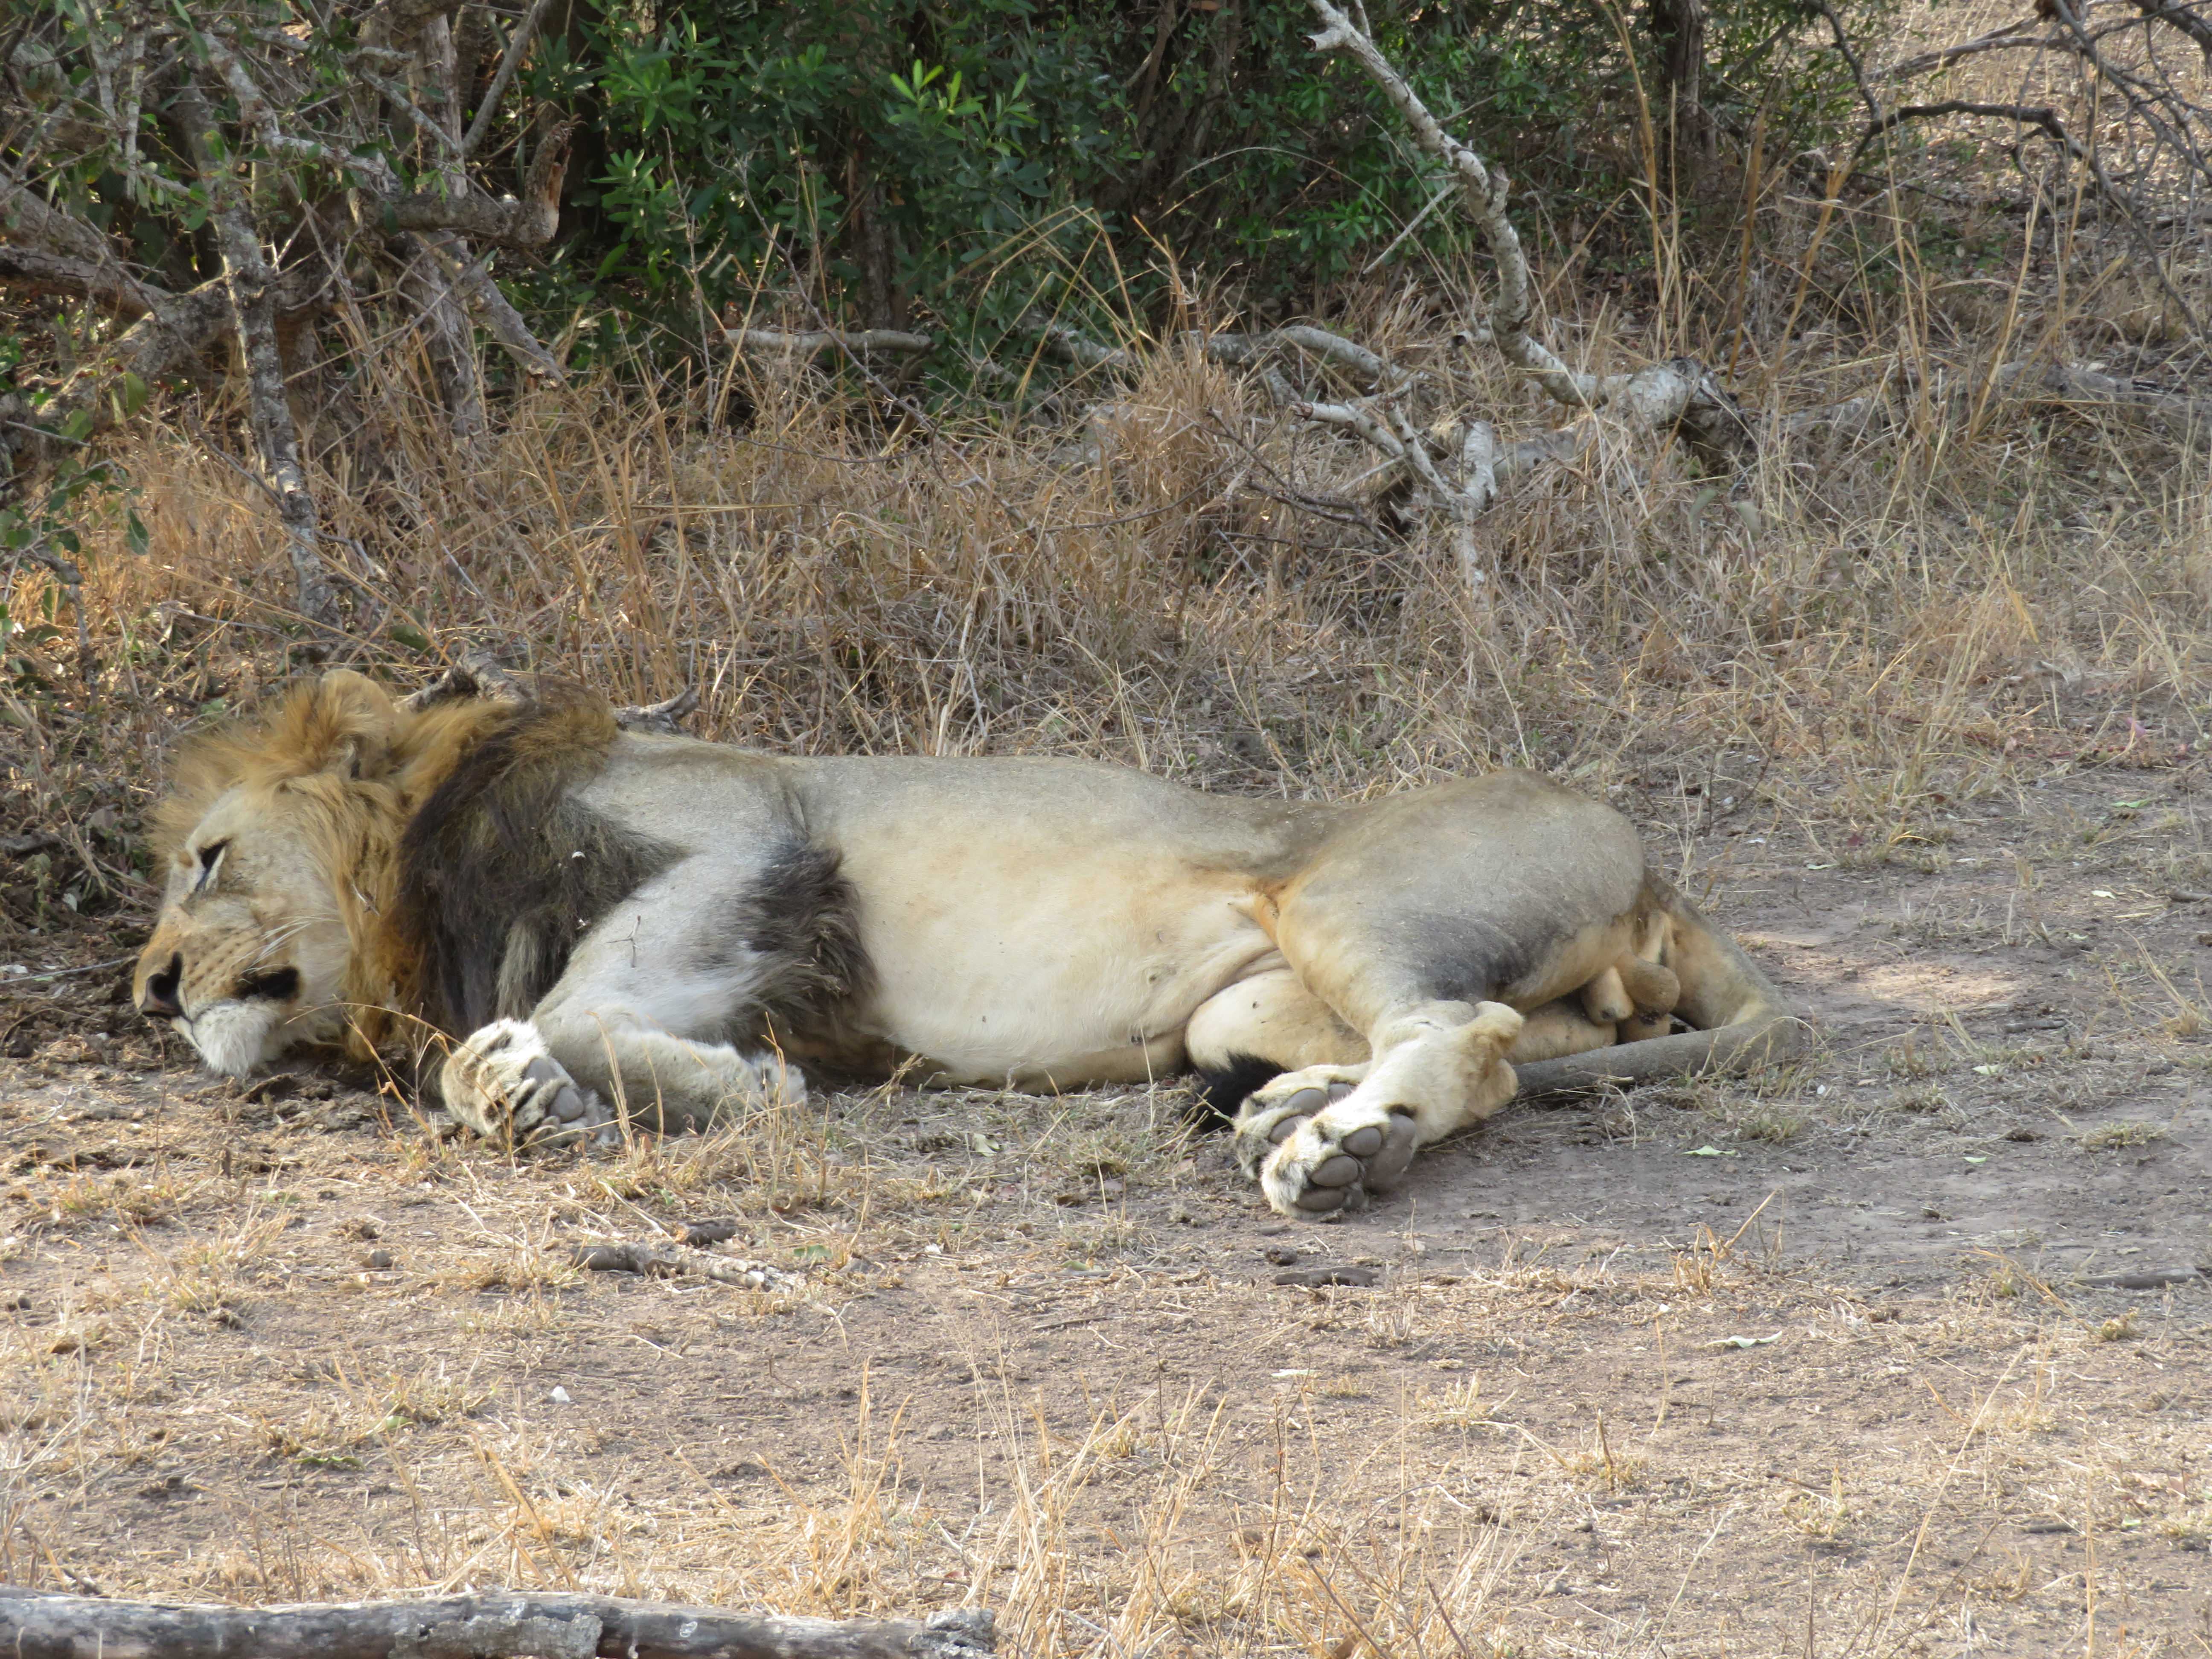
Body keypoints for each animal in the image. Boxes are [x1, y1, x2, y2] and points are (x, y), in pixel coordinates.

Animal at [132, 666, 1803, 1216]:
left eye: (206, 860)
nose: (148, 990)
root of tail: (1657, 869)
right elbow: (513, 1050)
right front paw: (526, 1098)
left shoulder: (752, 836)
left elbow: (584, 1008)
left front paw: (703, 1094)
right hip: (1246, 1004)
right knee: (1512, 1040)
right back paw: (1287, 1109)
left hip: (1345, 897)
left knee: (1473, 1039)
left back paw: (1338, 1151)